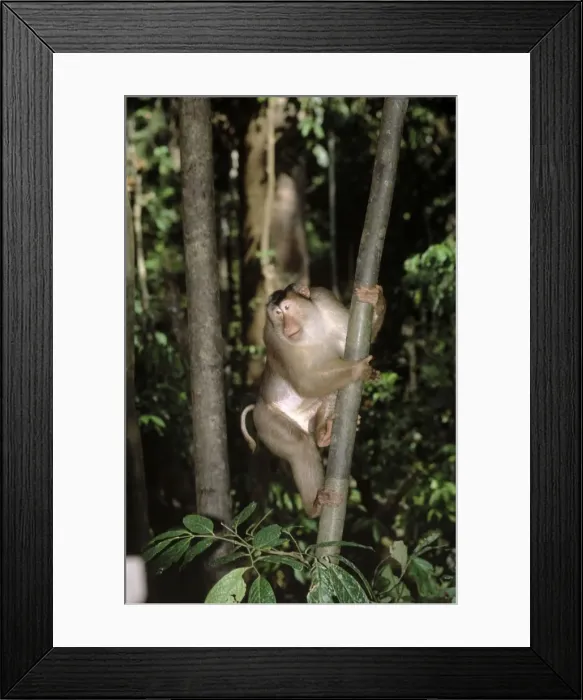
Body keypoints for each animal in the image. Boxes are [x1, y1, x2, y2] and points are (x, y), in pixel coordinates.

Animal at [240, 282, 386, 517]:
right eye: (277, 314)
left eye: (287, 308)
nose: (287, 327)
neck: (309, 328)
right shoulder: (273, 337)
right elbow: (305, 381)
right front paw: (358, 369)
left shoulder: (325, 299)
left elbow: (353, 340)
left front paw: (375, 298)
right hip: (266, 422)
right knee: (300, 445)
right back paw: (315, 505)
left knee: (332, 391)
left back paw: (322, 432)